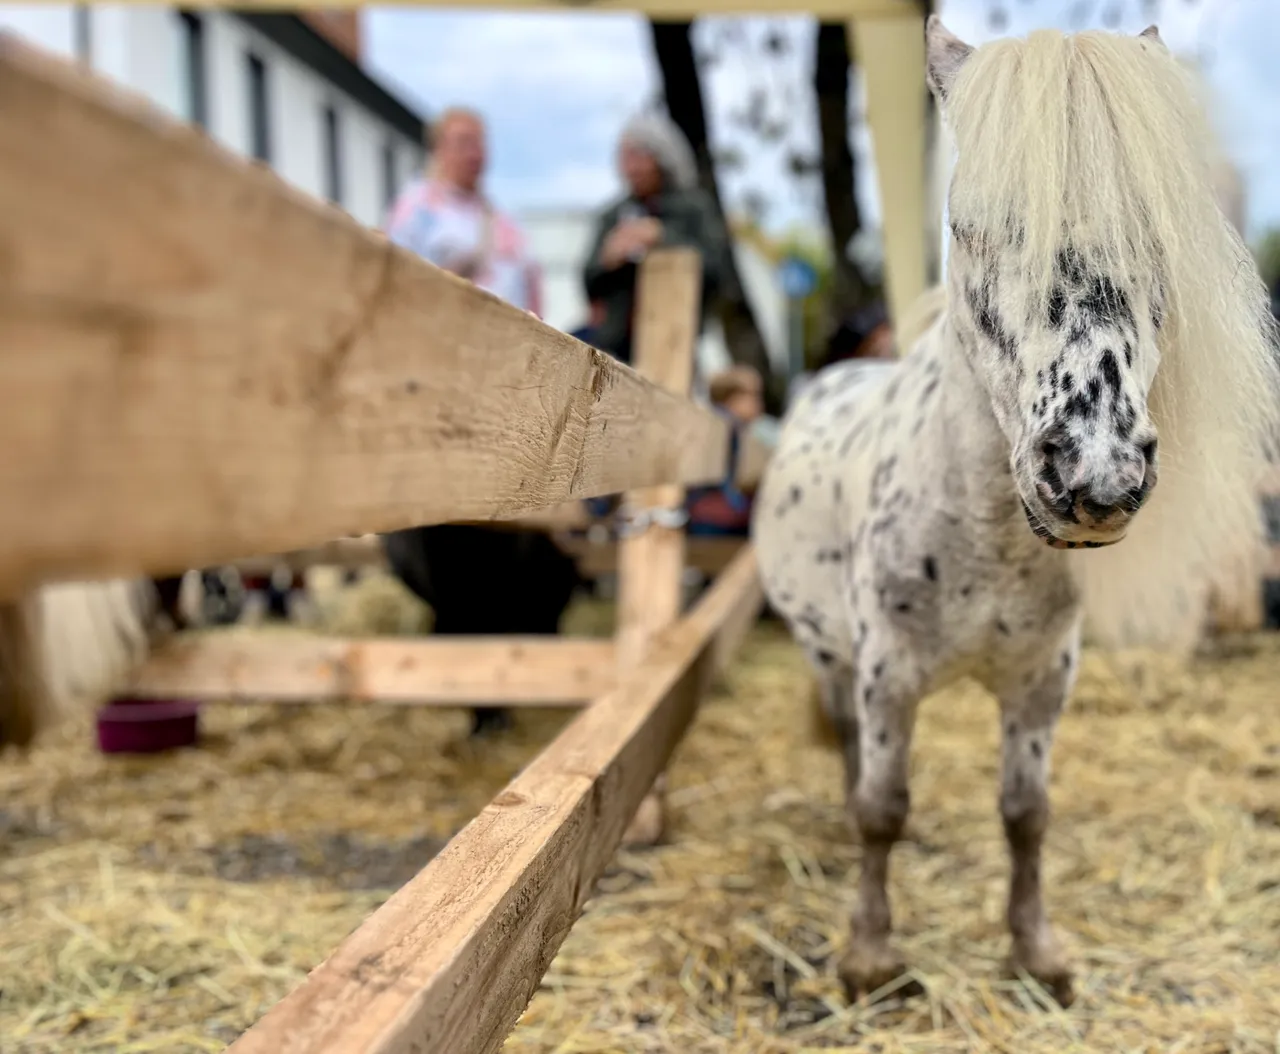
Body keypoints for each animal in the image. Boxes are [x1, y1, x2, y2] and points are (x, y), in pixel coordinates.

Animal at [752, 17, 1278, 1008]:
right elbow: (881, 809)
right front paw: (870, 955)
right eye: (973, 227)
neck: (984, 540)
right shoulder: (888, 672)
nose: (1095, 475)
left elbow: (1026, 815)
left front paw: (1037, 951)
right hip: (831, 655)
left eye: (1158, 235)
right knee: (851, 752)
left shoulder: (1041, 681)